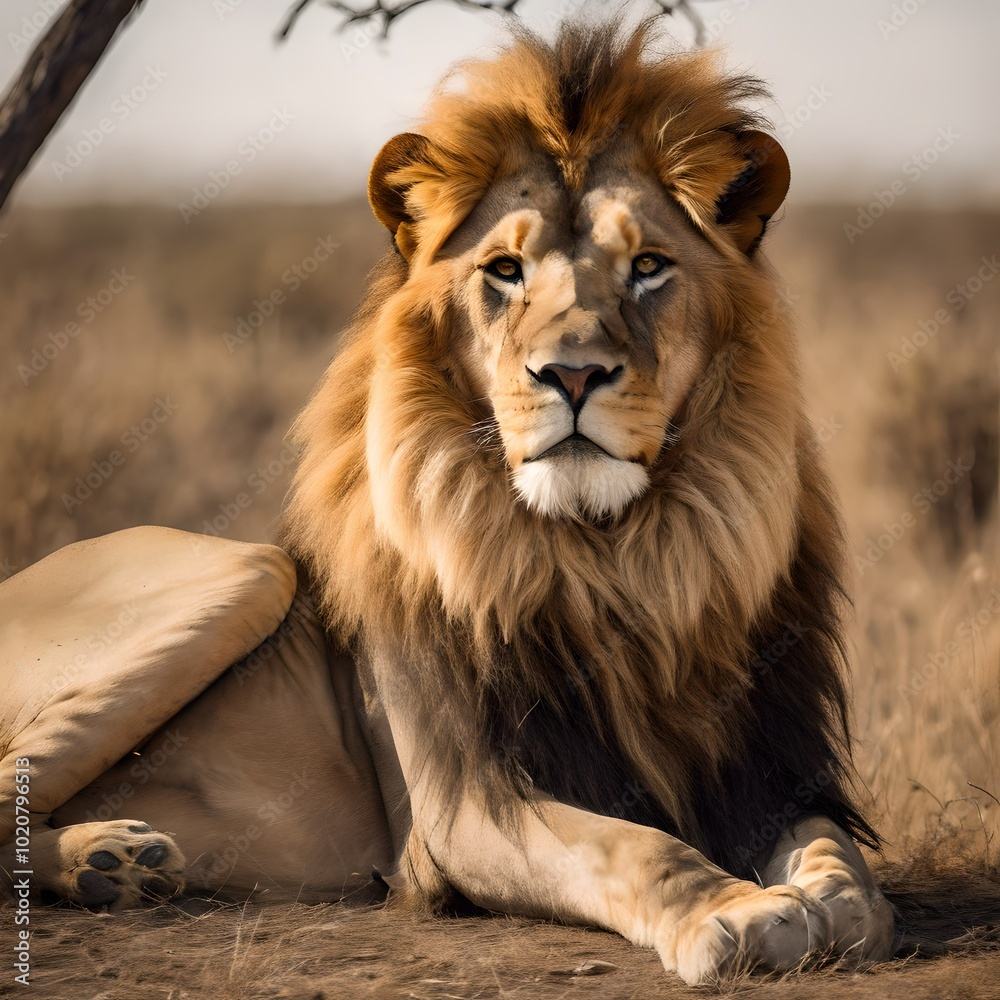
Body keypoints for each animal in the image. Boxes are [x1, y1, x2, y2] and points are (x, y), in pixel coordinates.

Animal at [0, 22, 894, 983]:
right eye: (504, 270)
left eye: (649, 267)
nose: (572, 373)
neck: (611, 561)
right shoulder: (466, 809)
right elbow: (636, 845)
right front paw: (739, 912)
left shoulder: (767, 769)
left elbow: (849, 874)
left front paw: (822, 903)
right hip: (256, 569)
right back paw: (107, 858)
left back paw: (115, 863)